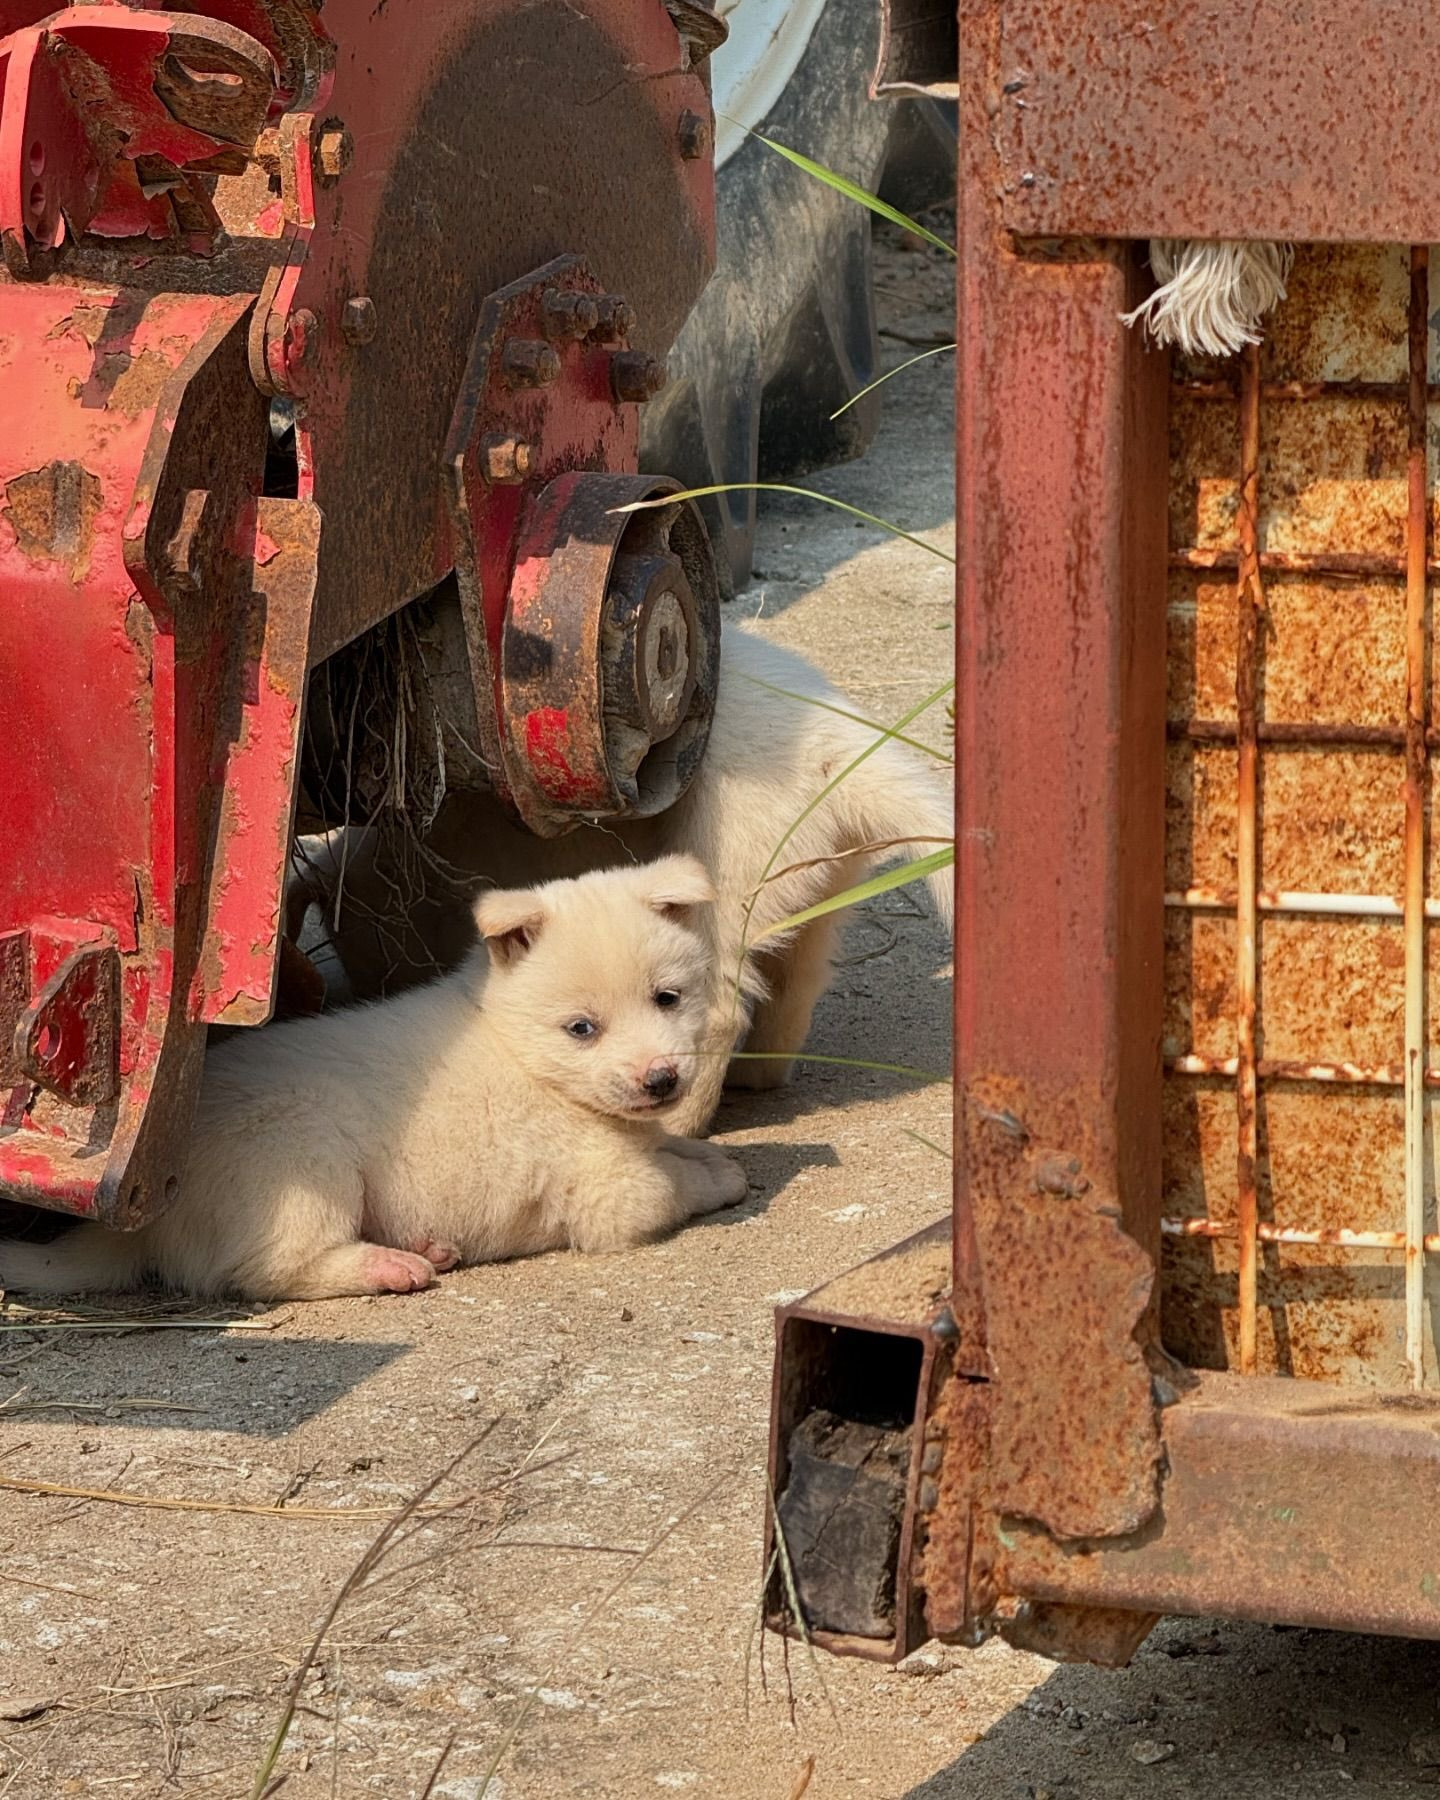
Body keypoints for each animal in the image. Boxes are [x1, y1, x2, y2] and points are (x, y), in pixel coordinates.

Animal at [0, 856, 741, 1296]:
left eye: (668, 998)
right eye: (582, 1028)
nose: (661, 1081)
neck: (519, 1049)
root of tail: (143, 1222)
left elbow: (674, 1147)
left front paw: (711, 1154)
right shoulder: (606, 1194)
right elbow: (670, 1185)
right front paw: (718, 1179)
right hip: (301, 1159)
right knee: (273, 1269)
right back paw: (393, 1265)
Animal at [297, 633, 950, 1130]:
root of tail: (844, 751)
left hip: (731, 854)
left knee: (719, 1004)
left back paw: (681, 1123)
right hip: (821, 877)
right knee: (798, 978)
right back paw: (756, 1075)